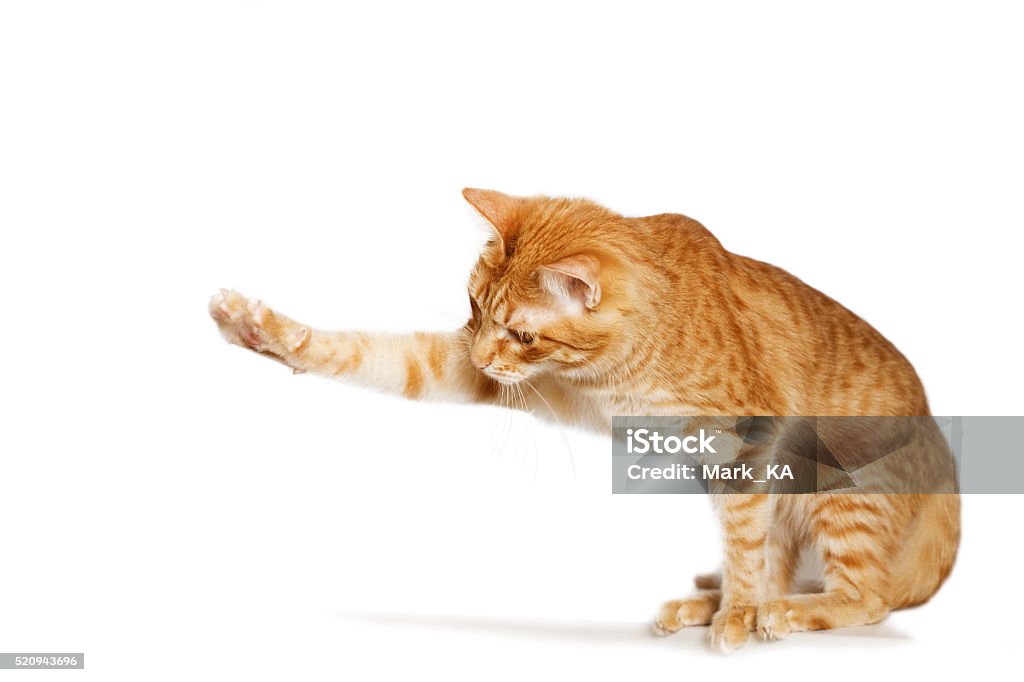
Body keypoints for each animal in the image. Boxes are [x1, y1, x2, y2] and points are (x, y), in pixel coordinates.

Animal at [207, 188, 958, 651]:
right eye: (473, 308)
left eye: (522, 334)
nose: (483, 352)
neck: (619, 370)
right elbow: (372, 353)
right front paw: (264, 331)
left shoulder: (752, 441)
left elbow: (751, 542)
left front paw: (741, 612)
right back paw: (712, 599)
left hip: (841, 491)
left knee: (867, 595)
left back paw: (775, 609)